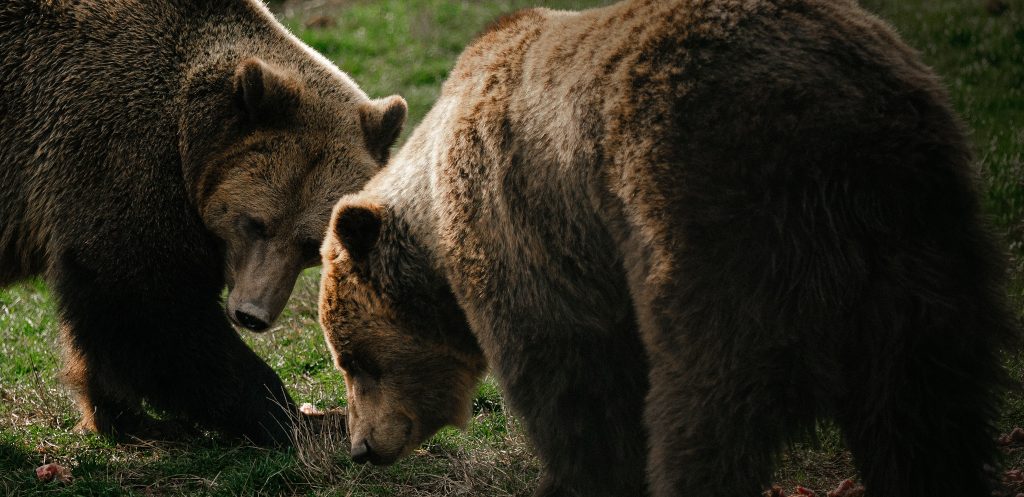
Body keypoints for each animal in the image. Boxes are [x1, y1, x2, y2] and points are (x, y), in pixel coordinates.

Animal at [0, 0, 406, 445]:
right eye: (256, 223)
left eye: (311, 245)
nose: (252, 314)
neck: (189, 142)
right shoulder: (116, 153)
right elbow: (151, 308)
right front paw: (296, 416)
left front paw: (121, 417)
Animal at [318, 0, 1016, 495]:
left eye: (355, 361)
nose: (361, 448)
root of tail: (839, 123)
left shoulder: (530, 237)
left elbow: (577, 388)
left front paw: (573, 480)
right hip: (921, 237)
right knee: (925, 407)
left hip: (713, 218)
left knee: (708, 402)